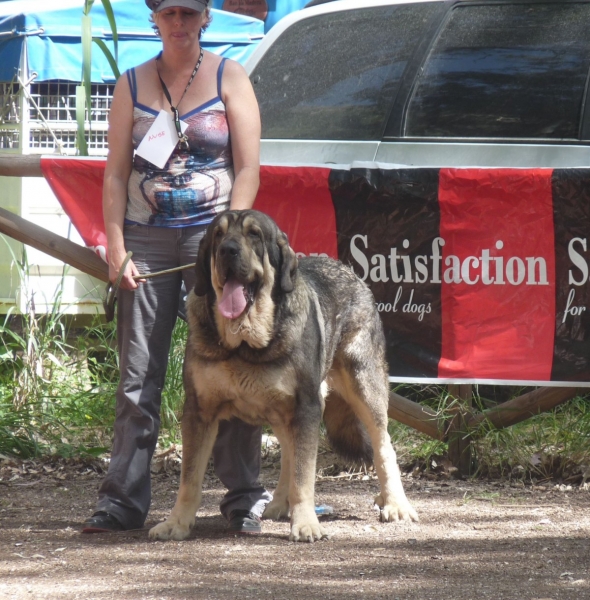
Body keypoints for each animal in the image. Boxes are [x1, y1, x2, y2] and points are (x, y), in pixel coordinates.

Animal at [153, 209, 420, 540]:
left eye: (254, 234)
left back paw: (395, 504)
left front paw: (305, 524)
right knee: (290, 457)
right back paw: (281, 503)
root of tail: (350, 272)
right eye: (218, 235)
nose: (228, 250)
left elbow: (304, 477)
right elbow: (189, 479)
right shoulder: (199, 412)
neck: (245, 345)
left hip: (363, 387)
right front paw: (176, 523)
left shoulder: (306, 407)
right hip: (282, 411)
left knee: (383, 447)